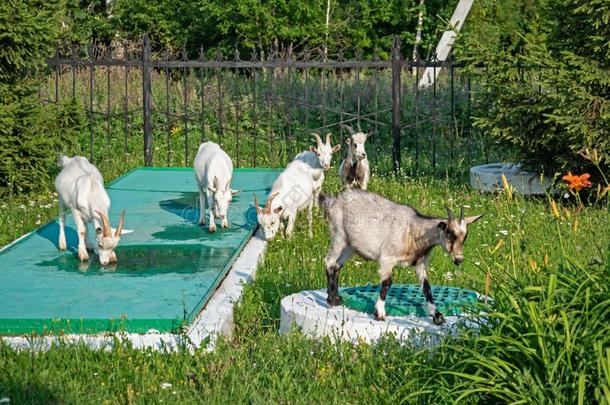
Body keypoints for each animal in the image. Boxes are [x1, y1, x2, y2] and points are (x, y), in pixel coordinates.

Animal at [318, 188, 480, 324]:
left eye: (465, 236)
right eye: (449, 233)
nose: (459, 259)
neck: (414, 232)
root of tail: (333, 201)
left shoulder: (420, 263)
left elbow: (426, 287)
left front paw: (437, 316)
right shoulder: (387, 259)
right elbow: (387, 283)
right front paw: (380, 313)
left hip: (350, 246)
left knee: (337, 266)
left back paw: (336, 298)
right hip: (339, 236)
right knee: (329, 261)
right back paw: (332, 300)